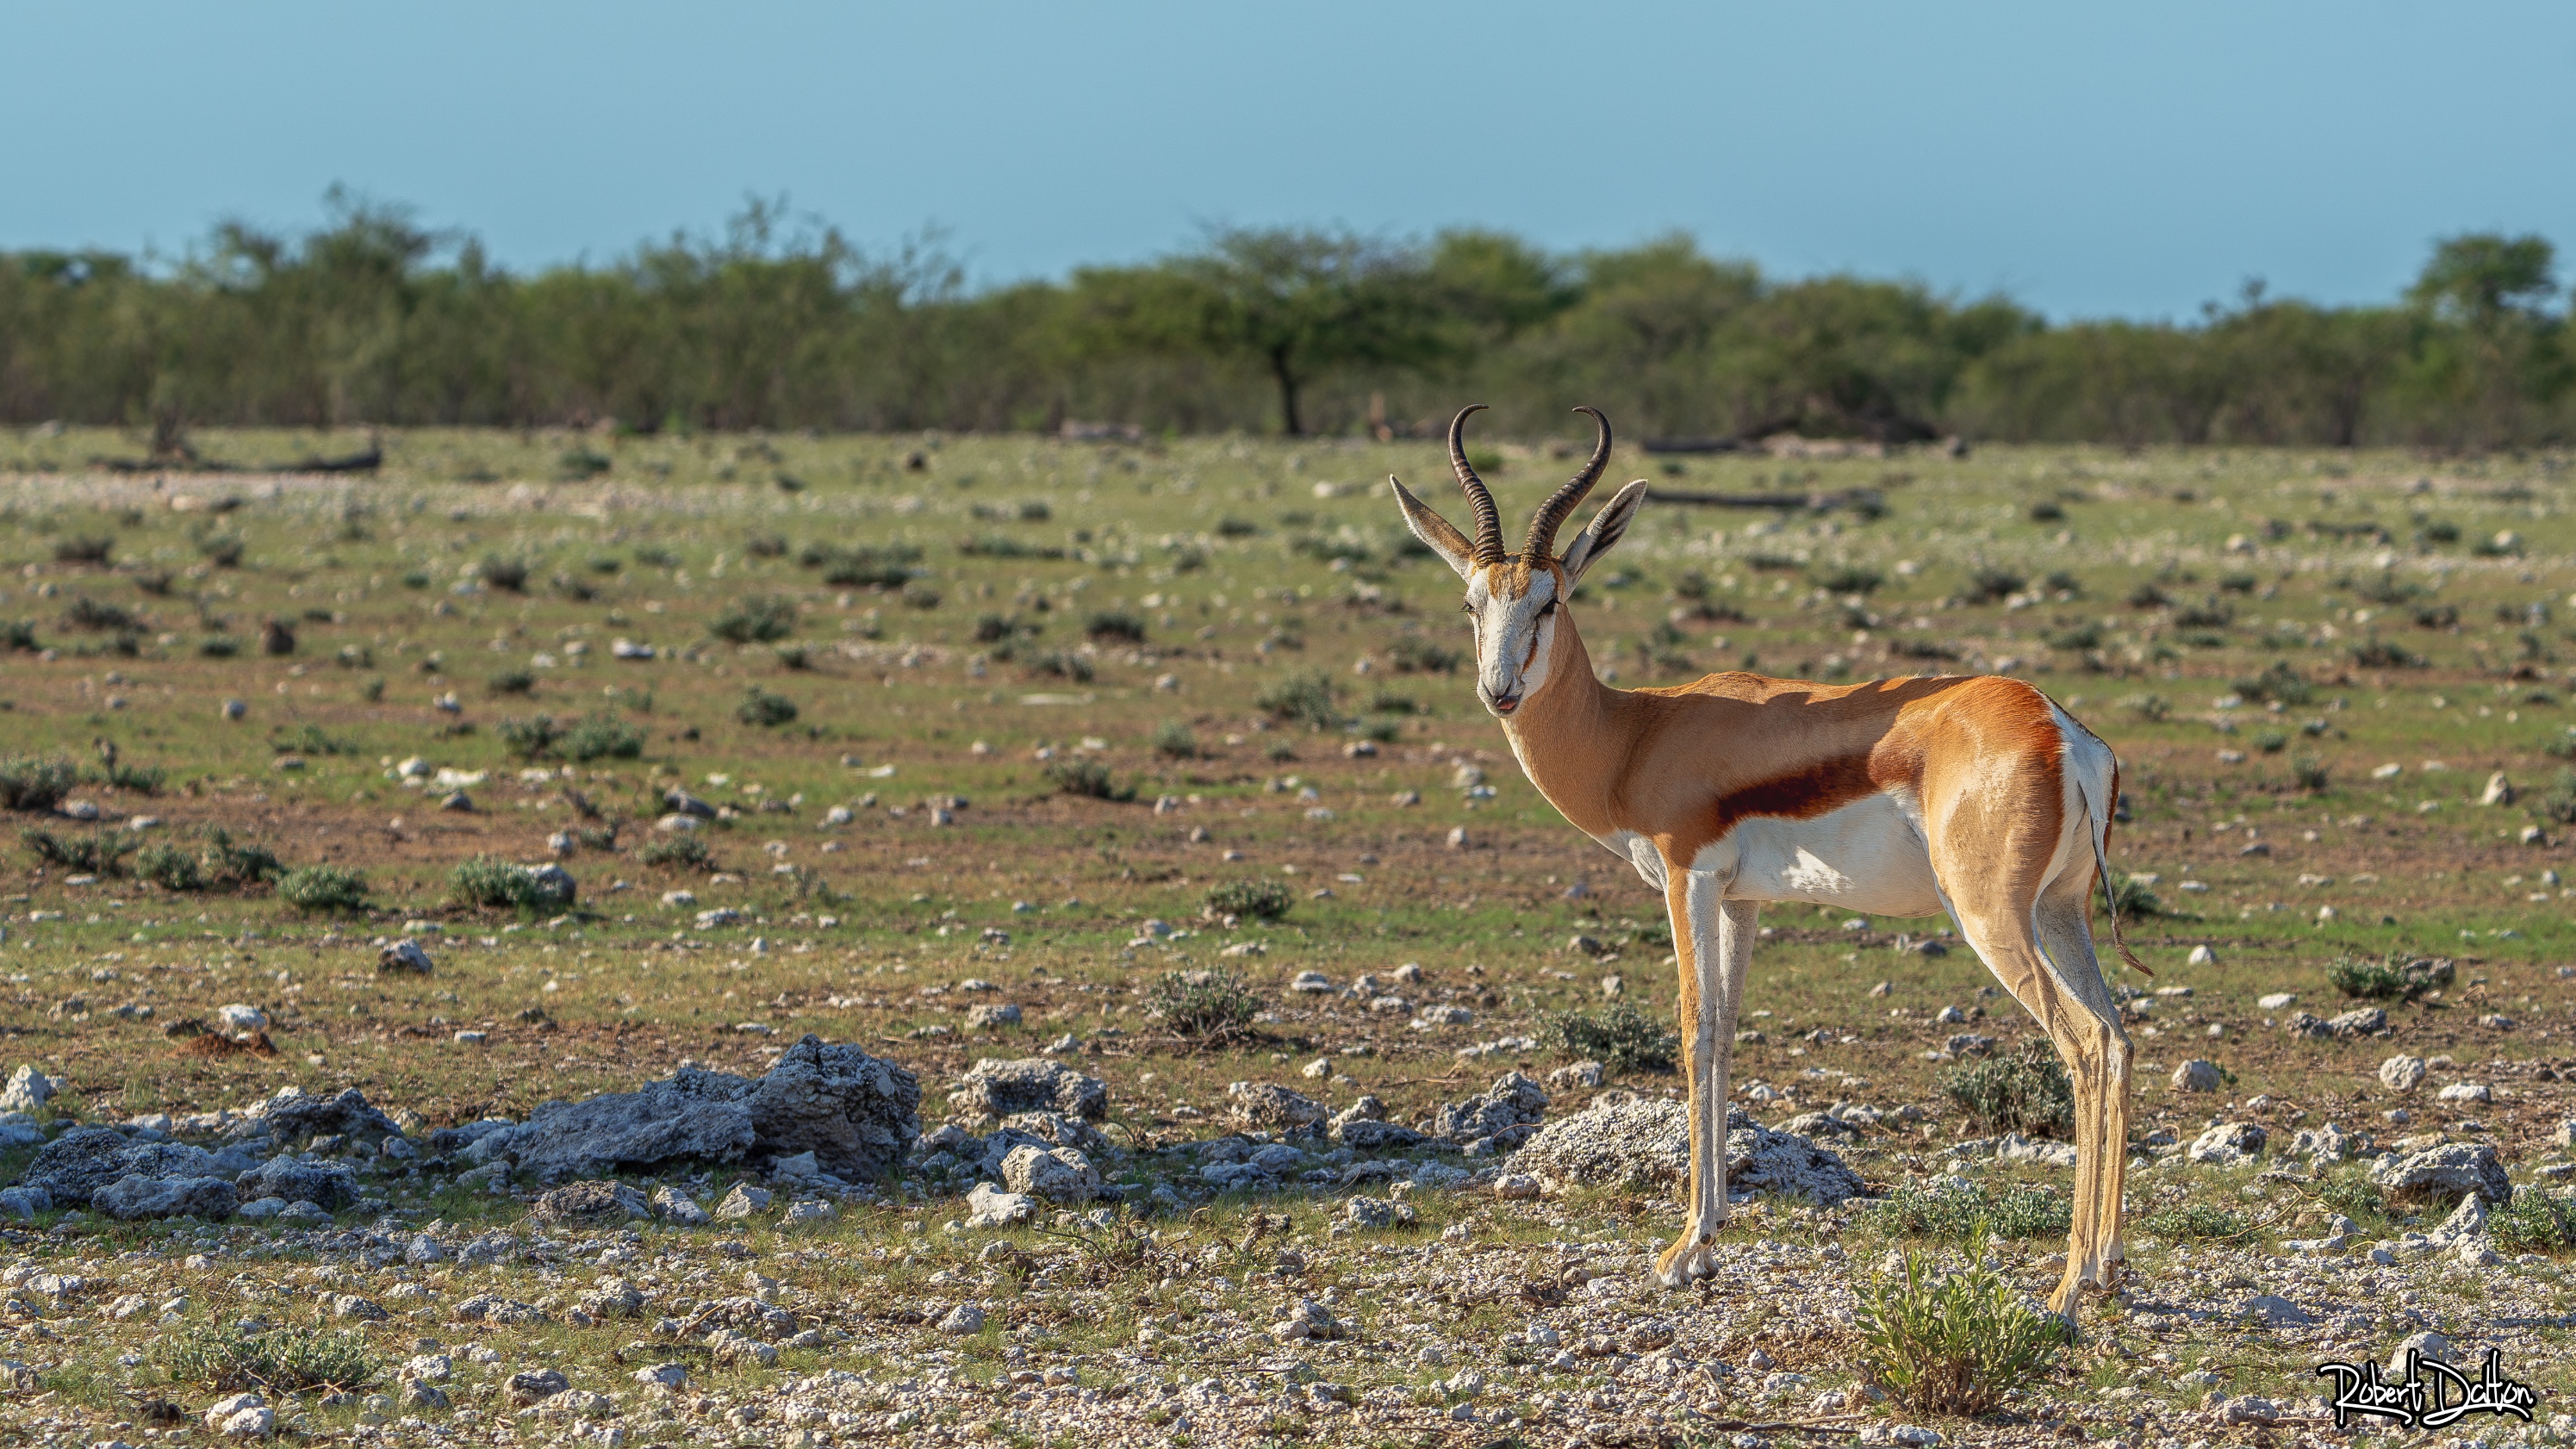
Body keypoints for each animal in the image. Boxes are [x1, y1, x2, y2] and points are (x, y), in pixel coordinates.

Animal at [1389, 404, 2139, 1320]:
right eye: (1471, 601)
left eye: (1550, 599)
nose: (1499, 691)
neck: (1633, 736)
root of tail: (2061, 730)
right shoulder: (1742, 898)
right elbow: (1725, 1036)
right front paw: (1708, 1241)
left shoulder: (1687, 881)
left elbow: (1692, 1032)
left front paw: (1681, 1250)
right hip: (2060, 912)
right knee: (2117, 1037)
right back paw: (2106, 1266)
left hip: (1993, 920)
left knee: (2082, 1046)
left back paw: (2066, 1284)